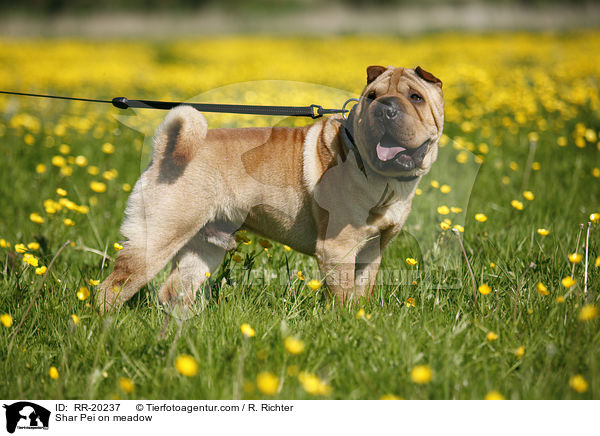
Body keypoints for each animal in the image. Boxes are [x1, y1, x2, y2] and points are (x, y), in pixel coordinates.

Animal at [98, 63, 442, 310]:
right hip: (157, 238)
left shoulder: (372, 249)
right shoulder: (338, 248)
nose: (385, 108)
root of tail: (164, 151)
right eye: (372, 97)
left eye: (416, 97)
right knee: (109, 290)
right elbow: (342, 295)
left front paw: (360, 319)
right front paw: (344, 323)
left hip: (204, 243)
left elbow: (361, 292)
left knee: (175, 290)